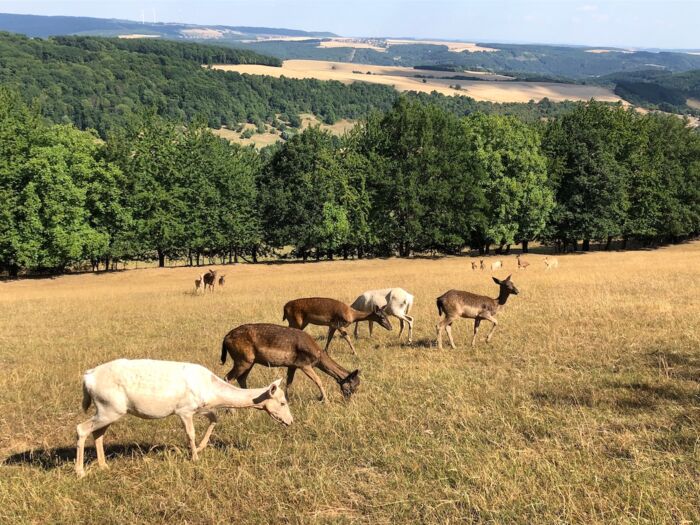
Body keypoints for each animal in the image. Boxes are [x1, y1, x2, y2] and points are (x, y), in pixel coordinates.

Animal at [75, 358, 294, 476]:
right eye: (283, 402)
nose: (291, 421)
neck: (211, 388)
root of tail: (87, 378)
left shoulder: (200, 407)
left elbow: (215, 418)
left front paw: (201, 448)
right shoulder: (184, 410)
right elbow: (190, 433)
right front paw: (194, 457)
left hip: (108, 410)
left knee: (98, 434)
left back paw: (103, 465)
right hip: (109, 408)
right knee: (81, 429)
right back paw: (80, 472)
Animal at [220, 324, 360, 402]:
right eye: (353, 385)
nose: (348, 400)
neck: (318, 355)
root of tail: (225, 338)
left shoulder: (292, 366)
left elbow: (289, 382)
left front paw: (287, 400)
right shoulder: (304, 364)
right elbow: (318, 381)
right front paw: (326, 401)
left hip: (249, 361)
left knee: (241, 378)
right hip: (243, 360)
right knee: (228, 378)